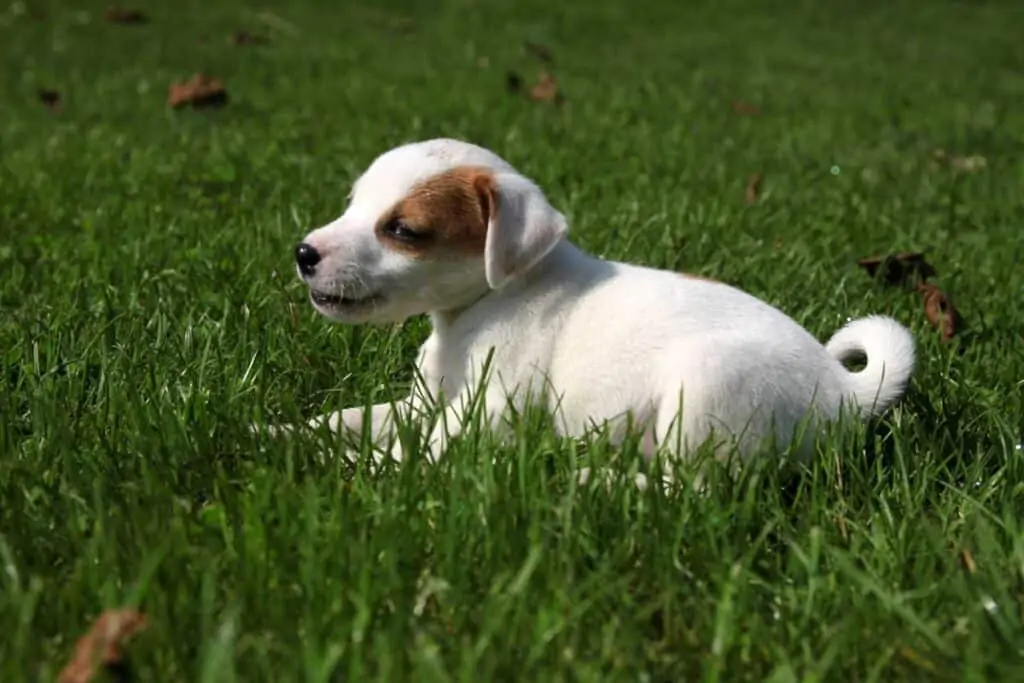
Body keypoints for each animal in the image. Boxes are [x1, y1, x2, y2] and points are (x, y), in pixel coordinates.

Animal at [278, 139, 913, 475]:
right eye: (352, 204)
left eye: (403, 230)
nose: (303, 253)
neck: (482, 305)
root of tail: (845, 389)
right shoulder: (423, 402)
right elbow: (343, 420)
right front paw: (279, 434)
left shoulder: (488, 412)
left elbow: (413, 450)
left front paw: (348, 473)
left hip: (708, 389)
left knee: (686, 492)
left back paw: (586, 483)